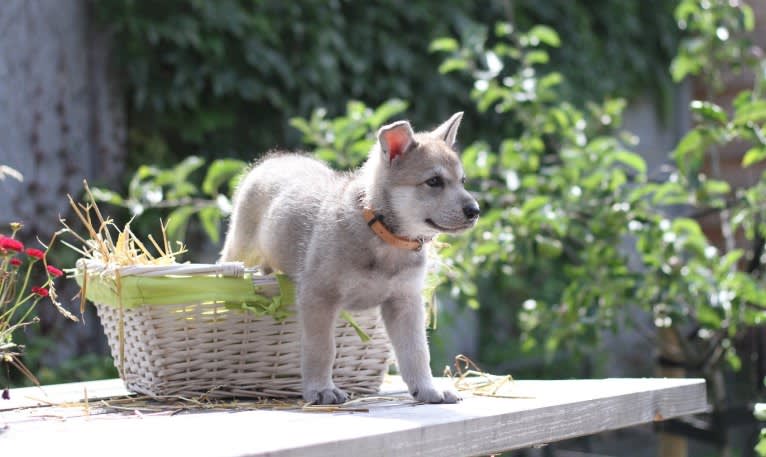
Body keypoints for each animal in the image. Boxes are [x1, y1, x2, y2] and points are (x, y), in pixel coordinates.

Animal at [219, 112, 480, 404]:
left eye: (463, 181)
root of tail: (275, 158)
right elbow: (322, 349)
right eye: (434, 181)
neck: (385, 238)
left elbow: (417, 352)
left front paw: (427, 389)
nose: (475, 210)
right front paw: (321, 389)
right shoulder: (319, 297)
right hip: (240, 250)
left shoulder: (405, 302)